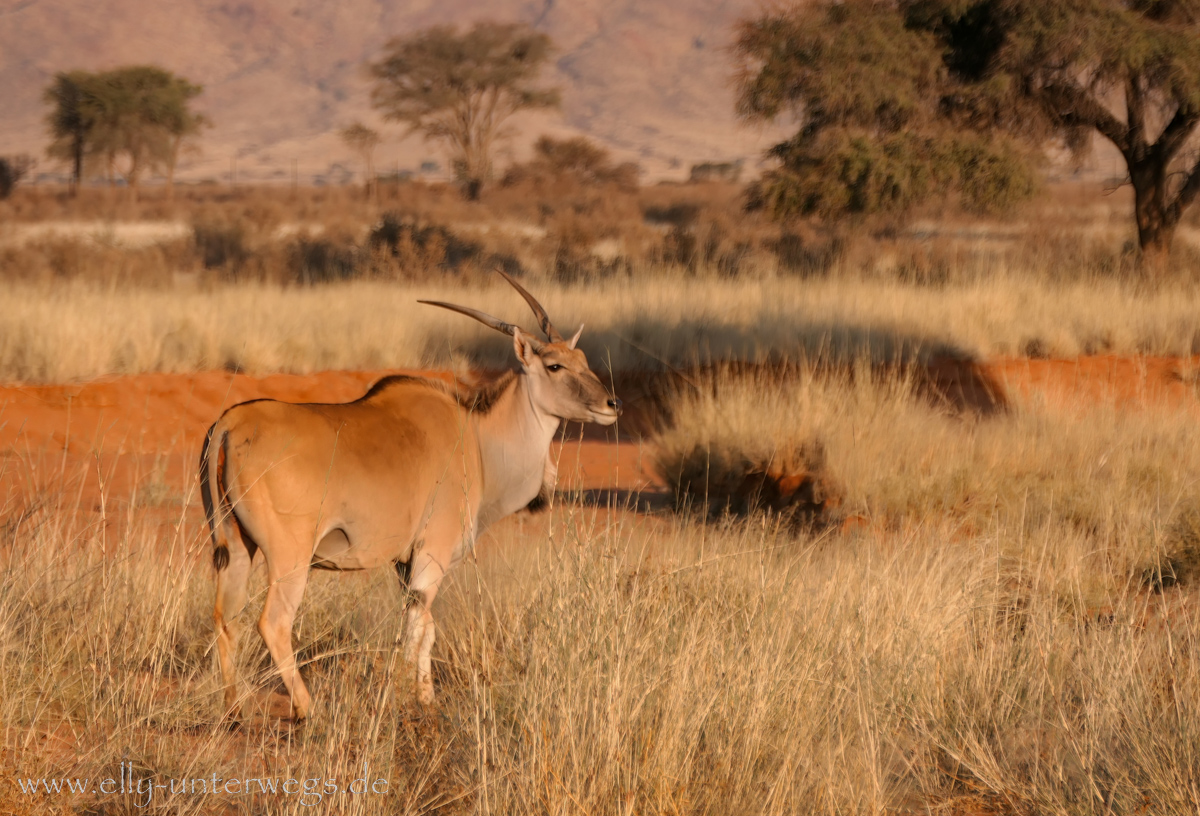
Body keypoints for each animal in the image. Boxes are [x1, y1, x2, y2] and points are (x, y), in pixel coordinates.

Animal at [198, 273, 624, 720]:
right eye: (554, 365)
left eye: (583, 360)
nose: (612, 404)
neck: (476, 439)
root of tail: (231, 421)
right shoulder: (430, 557)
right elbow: (418, 629)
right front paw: (408, 698)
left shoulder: (406, 565)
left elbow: (427, 628)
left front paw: (426, 696)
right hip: (289, 556)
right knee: (273, 622)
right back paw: (307, 707)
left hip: (236, 547)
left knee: (225, 617)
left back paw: (234, 709)